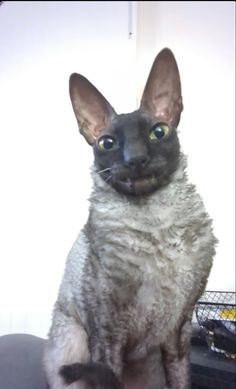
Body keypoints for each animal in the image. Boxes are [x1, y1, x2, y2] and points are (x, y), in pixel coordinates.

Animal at [43, 49, 217, 388]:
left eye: (158, 131)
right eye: (107, 143)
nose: (135, 158)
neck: (157, 226)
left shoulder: (179, 330)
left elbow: (181, 379)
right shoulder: (107, 331)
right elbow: (107, 373)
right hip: (71, 339)